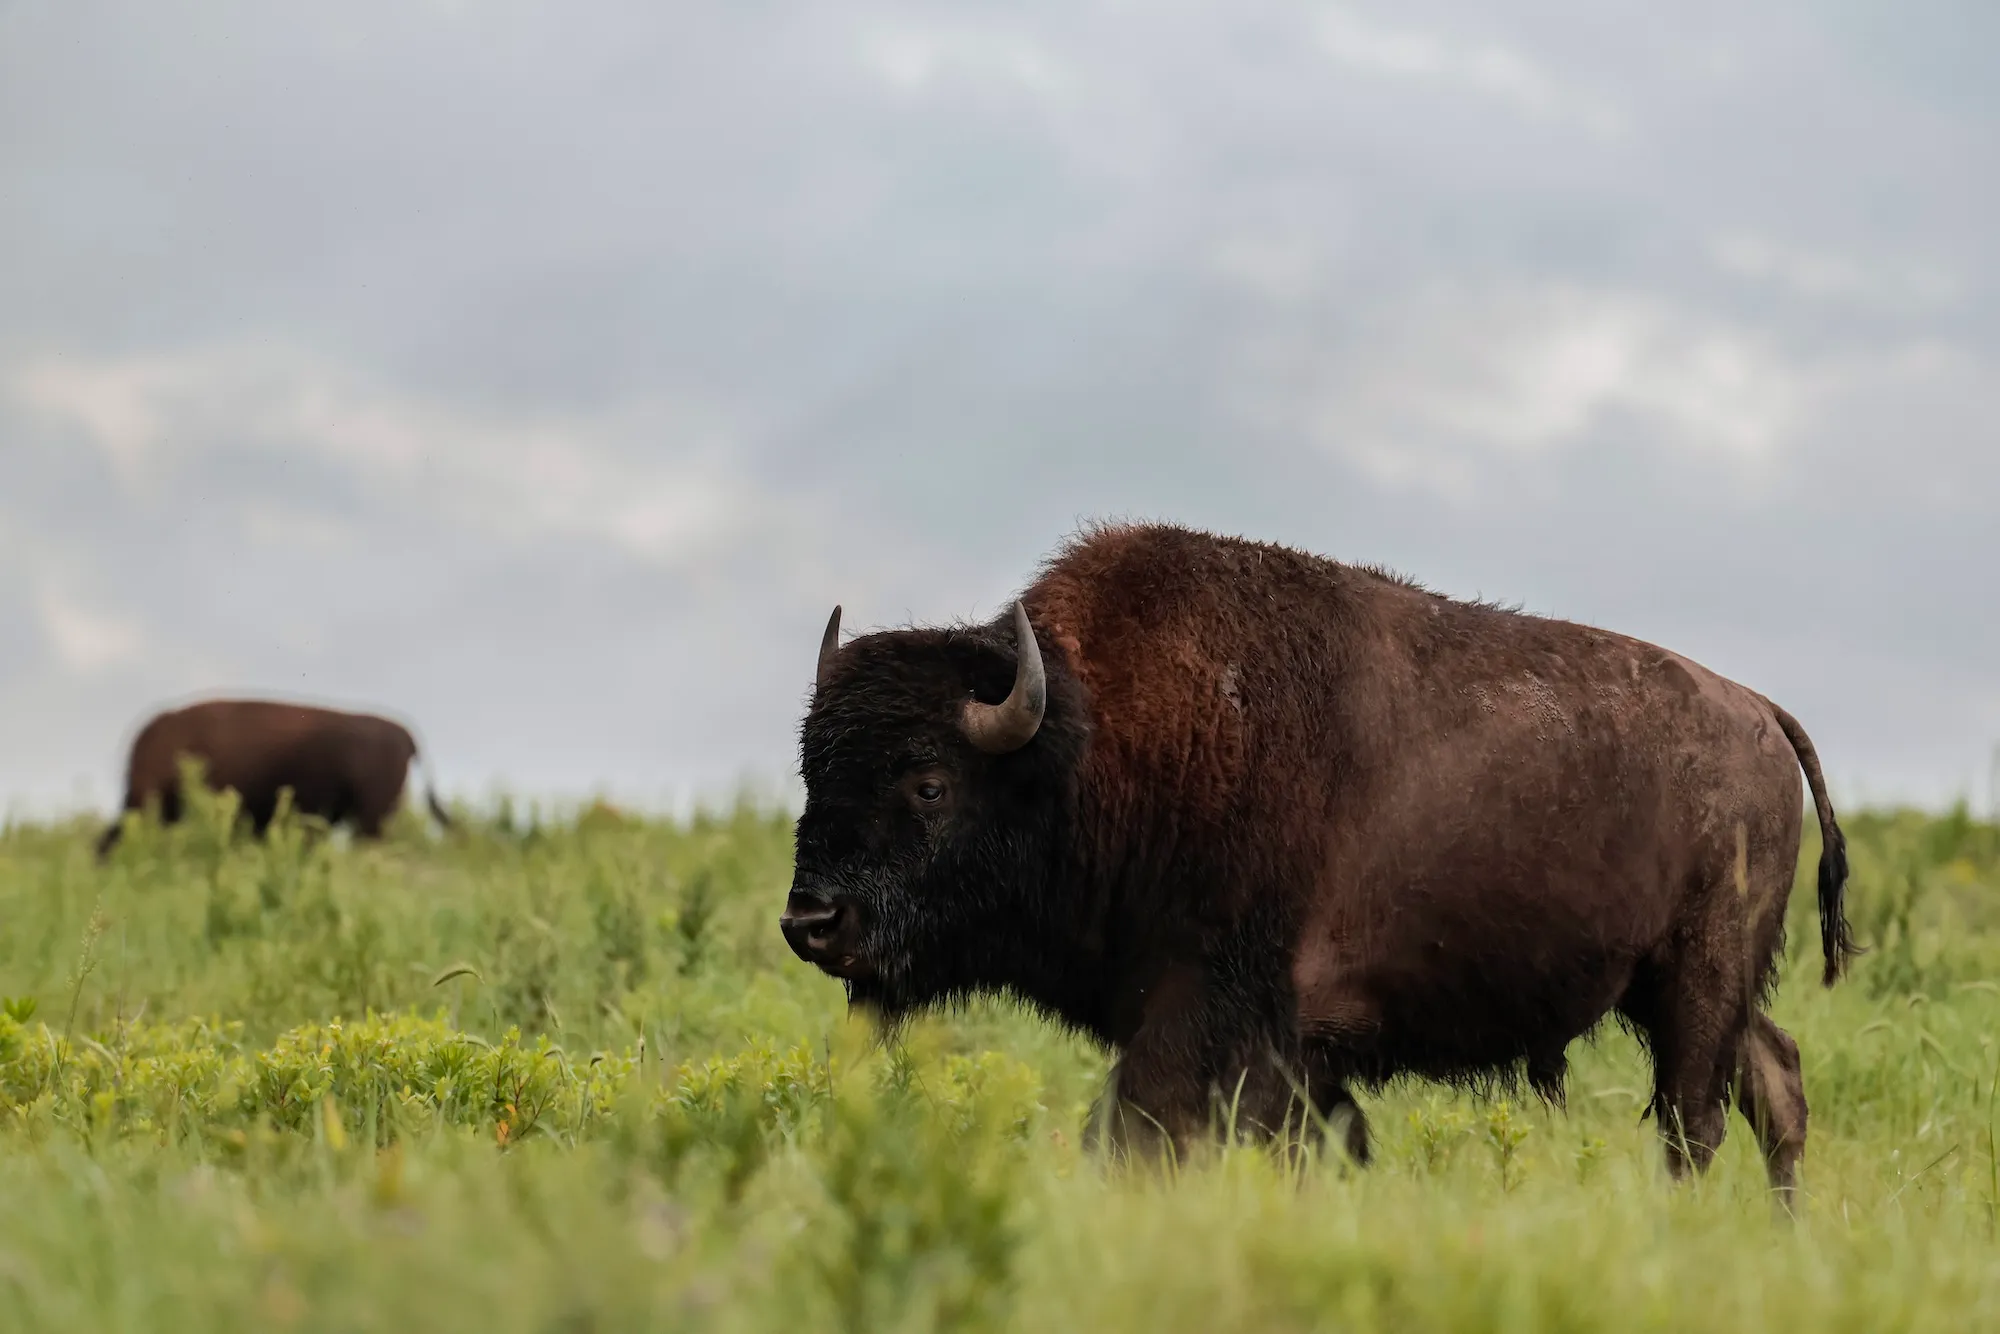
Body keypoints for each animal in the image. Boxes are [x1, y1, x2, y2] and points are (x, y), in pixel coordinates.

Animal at [782, 521, 1854, 1205]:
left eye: (928, 784)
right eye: (810, 771)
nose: (811, 923)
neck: (1093, 745)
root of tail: (1758, 710)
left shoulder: (1212, 1020)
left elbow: (1138, 1134)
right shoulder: (1287, 1053)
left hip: (1697, 976)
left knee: (1695, 1118)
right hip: (1676, 987)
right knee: (1774, 1080)